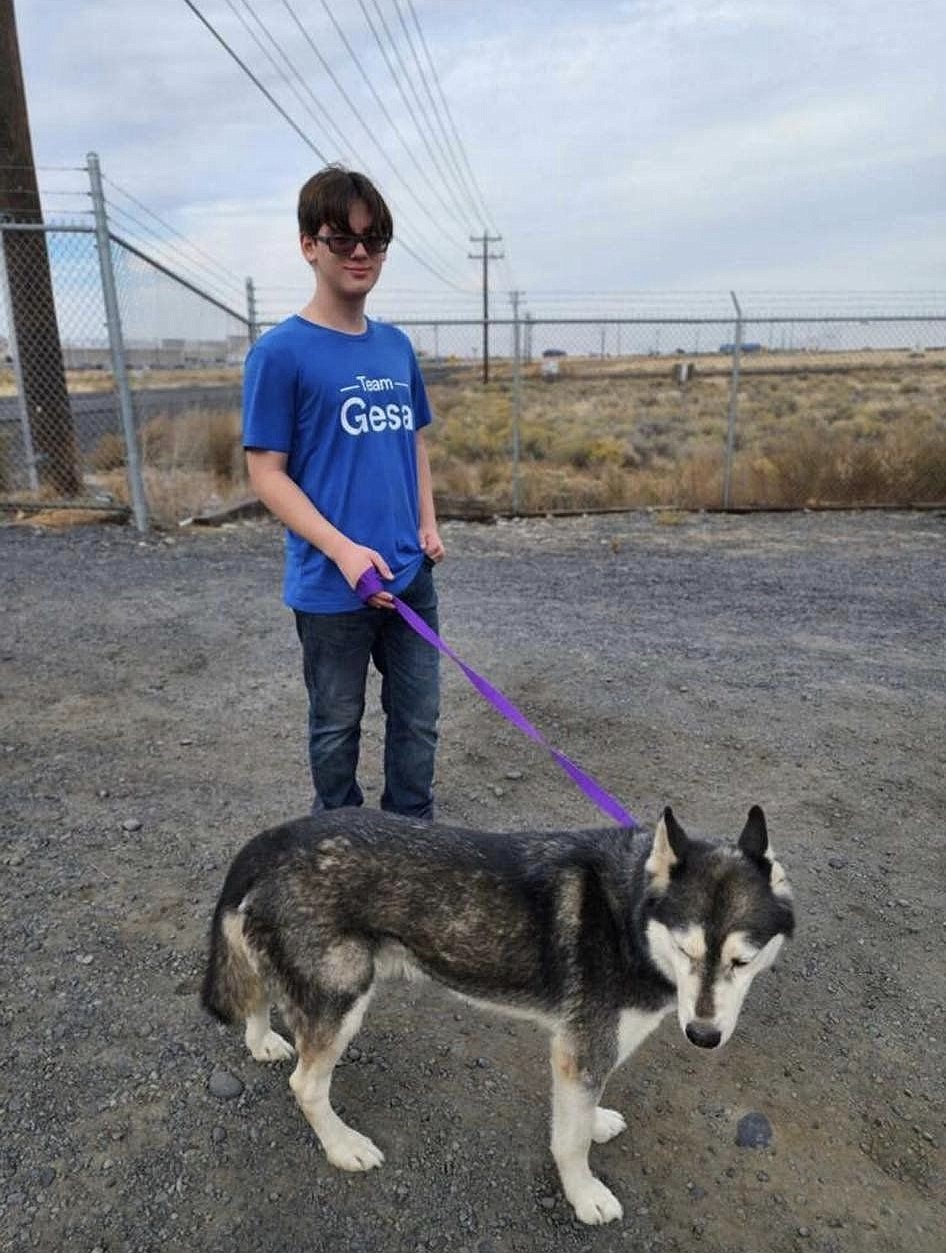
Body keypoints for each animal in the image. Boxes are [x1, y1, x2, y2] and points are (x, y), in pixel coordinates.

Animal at [202, 801, 796, 1222]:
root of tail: (273, 839)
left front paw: (597, 1121)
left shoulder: (586, 1053)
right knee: (306, 1085)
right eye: (687, 950)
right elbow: (570, 1141)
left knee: (259, 993)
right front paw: (584, 1195)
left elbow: (581, 1118)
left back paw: (262, 1041)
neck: (626, 913)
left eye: (742, 961)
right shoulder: (581, 1051)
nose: (703, 1034)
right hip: (343, 994)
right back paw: (342, 1145)